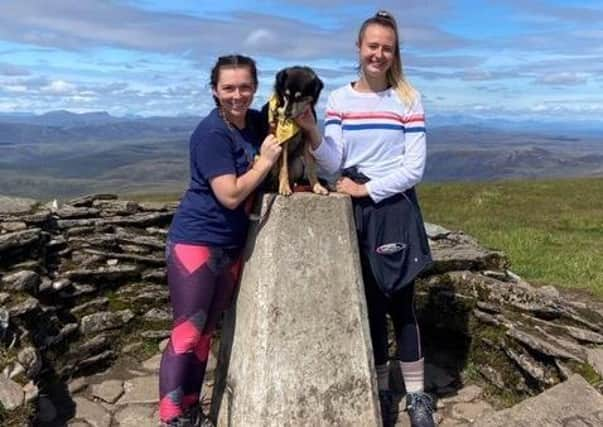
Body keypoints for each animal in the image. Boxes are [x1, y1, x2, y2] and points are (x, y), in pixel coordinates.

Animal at [264, 65, 328, 197]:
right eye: (286, 95)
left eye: (300, 98)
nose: (286, 114)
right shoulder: (282, 141)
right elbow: (283, 168)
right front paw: (284, 187)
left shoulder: (308, 138)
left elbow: (311, 167)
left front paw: (317, 187)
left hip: (297, 163)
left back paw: (295, 185)